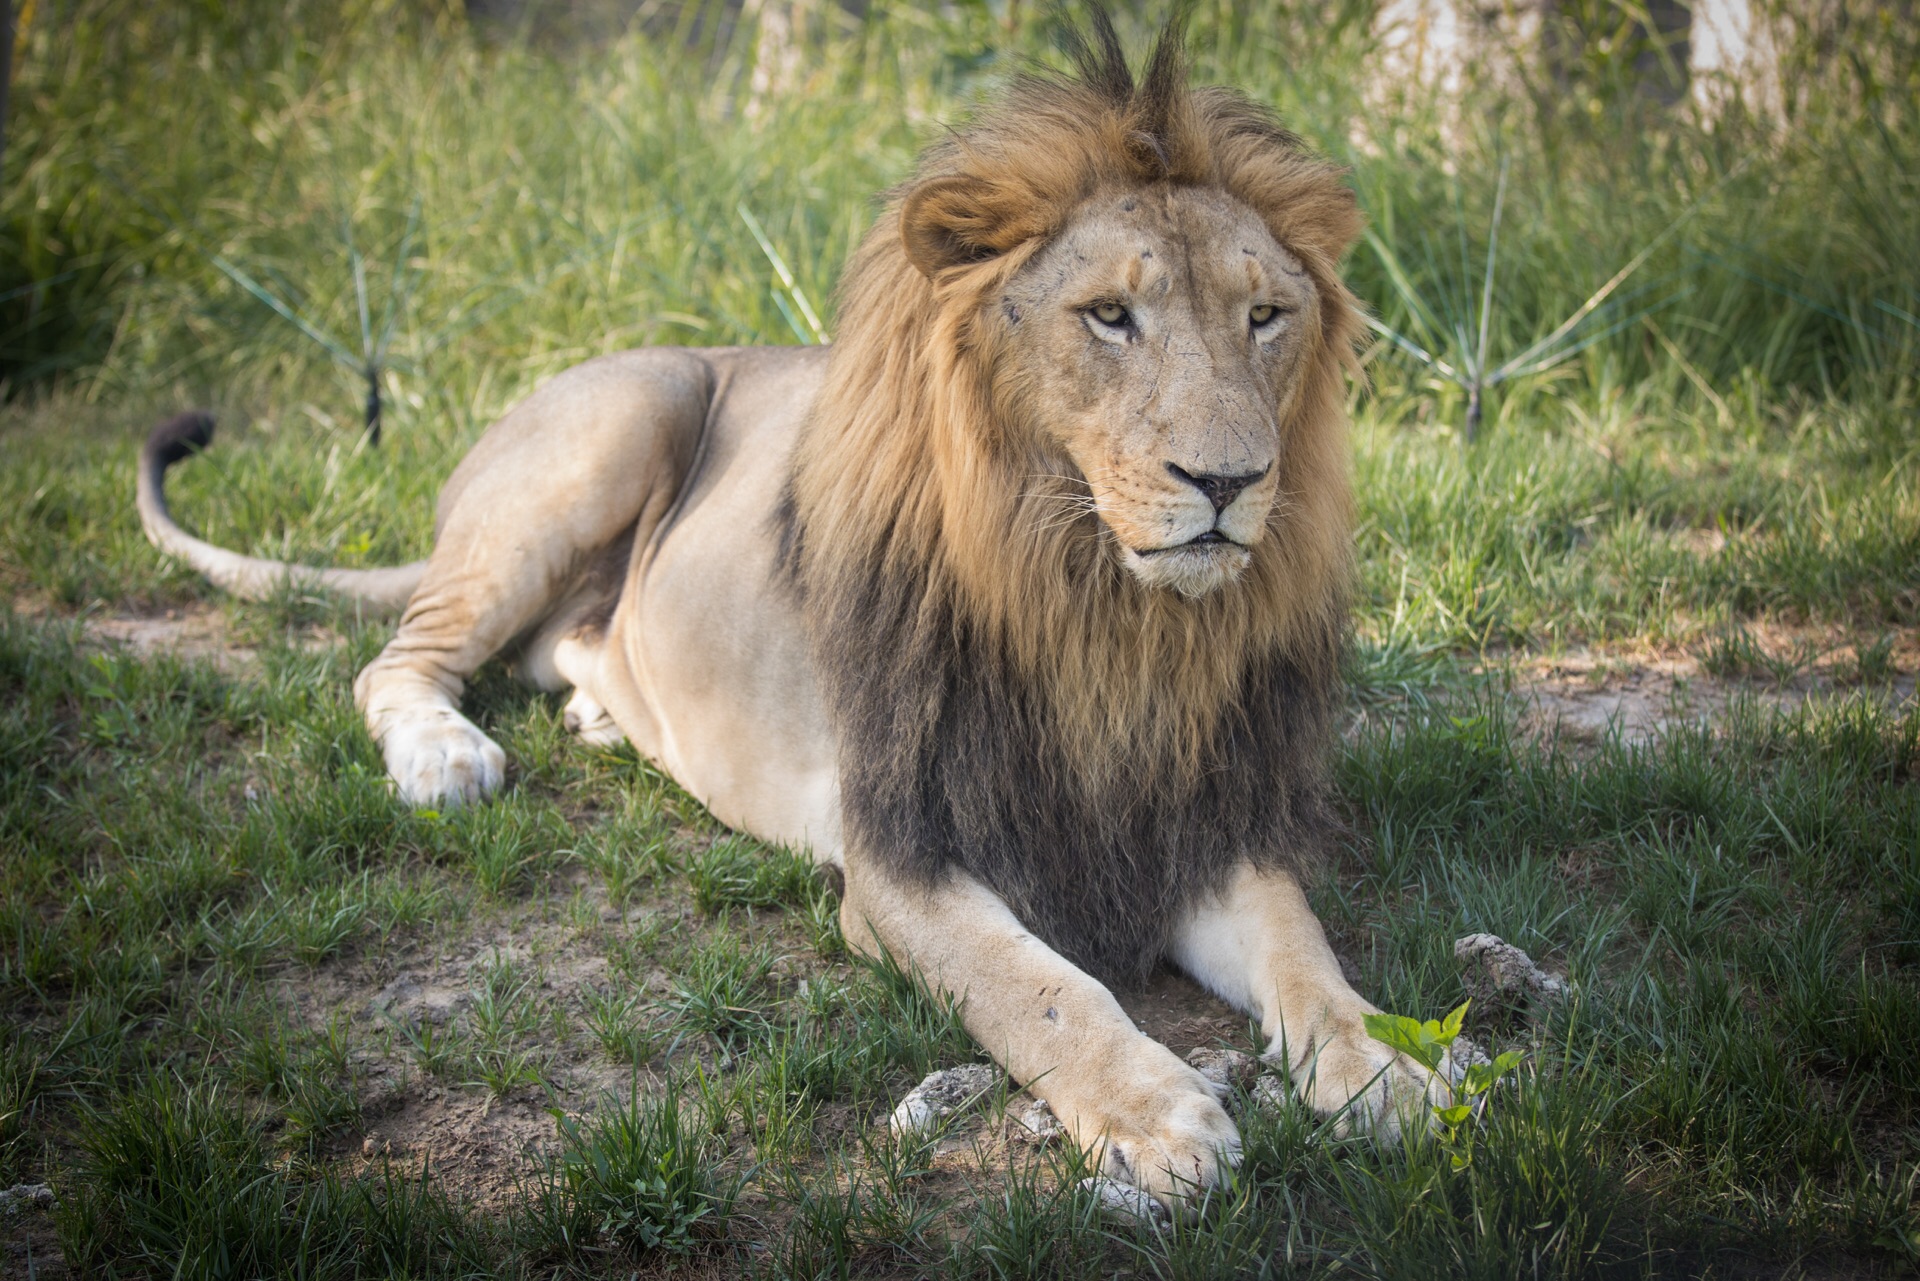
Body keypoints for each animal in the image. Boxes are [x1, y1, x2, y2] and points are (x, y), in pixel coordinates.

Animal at [139, 12, 1428, 1213]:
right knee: (396, 662)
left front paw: (1388, 1070)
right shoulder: (900, 854)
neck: (1104, 615)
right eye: (1111, 315)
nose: (1231, 481)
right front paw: (1157, 1111)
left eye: (1266, 317)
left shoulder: (1205, 818)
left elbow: (1303, 951)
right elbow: (1043, 990)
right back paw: (446, 755)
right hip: (628, 414)